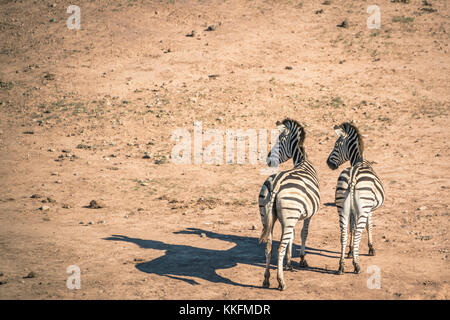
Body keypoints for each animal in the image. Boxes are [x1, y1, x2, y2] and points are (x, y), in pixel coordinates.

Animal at [256, 119, 320, 292]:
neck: (303, 162)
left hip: (267, 217)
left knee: (269, 247)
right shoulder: (308, 215)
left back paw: (266, 279)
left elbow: (292, 235)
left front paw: (289, 263)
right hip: (289, 213)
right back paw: (281, 282)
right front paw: (302, 260)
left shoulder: (293, 218)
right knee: (279, 249)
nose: (268, 160)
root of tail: (276, 183)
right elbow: (304, 233)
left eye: (279, 141)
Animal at [326, 122, 384, 276]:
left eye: (335, 145)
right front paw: (371, 248)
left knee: (343, 233)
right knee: (358, 231)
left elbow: (351, 227)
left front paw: (350, 251)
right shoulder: (369, 209)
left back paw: (341, 266)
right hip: (363, 208)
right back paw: (356, 265)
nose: (328, 163)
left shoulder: (352, 210)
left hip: (342, 208)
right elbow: (369, 226)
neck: (359, 161)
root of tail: (353, 177)